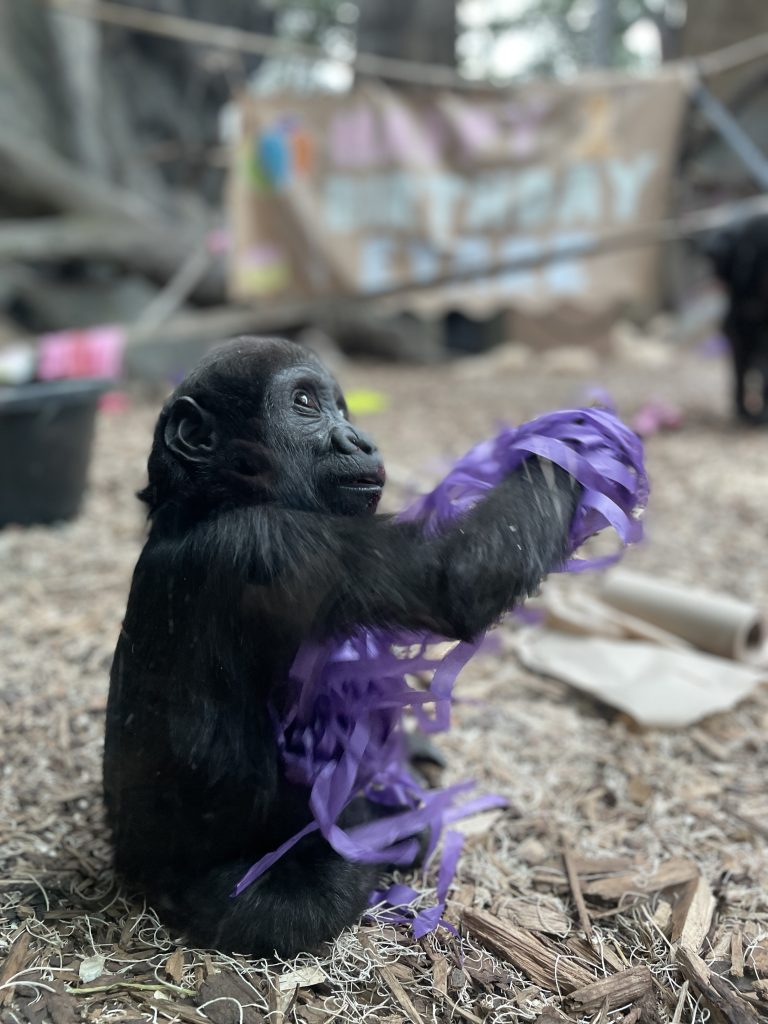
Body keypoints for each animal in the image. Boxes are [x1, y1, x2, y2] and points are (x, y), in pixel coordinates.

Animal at [105, 339, 581, 954]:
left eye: (343, 408)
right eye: (305, 403)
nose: (360, 439)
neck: (207, 502)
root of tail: (133, 872)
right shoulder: (269, 544)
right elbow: (450, 578)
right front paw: (570, 451)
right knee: (306, 900)